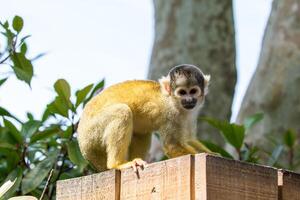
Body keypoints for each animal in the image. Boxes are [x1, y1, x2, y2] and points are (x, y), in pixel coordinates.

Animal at [78, 64, 212, 172]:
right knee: (122, 112)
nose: (189, 100)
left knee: (141, 132)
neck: (174, 102)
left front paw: (212, 153)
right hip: (93, 132)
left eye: (193, 91)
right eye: (182, 92)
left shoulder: (190, 112)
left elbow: (188, 139)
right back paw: (117, 164)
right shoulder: (171, 114)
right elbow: (172, 146)